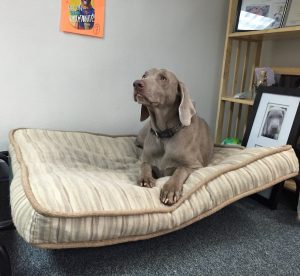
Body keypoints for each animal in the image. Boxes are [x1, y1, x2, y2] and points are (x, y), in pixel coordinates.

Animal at [133, 67, 213, 205]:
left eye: (163, 78)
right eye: (144, 75)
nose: (136, 83)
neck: (164, 136)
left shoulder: (196, 166)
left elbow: (180, 170)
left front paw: (170, 189)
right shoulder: (146, 159)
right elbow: (145, 165)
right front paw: (145, 178)